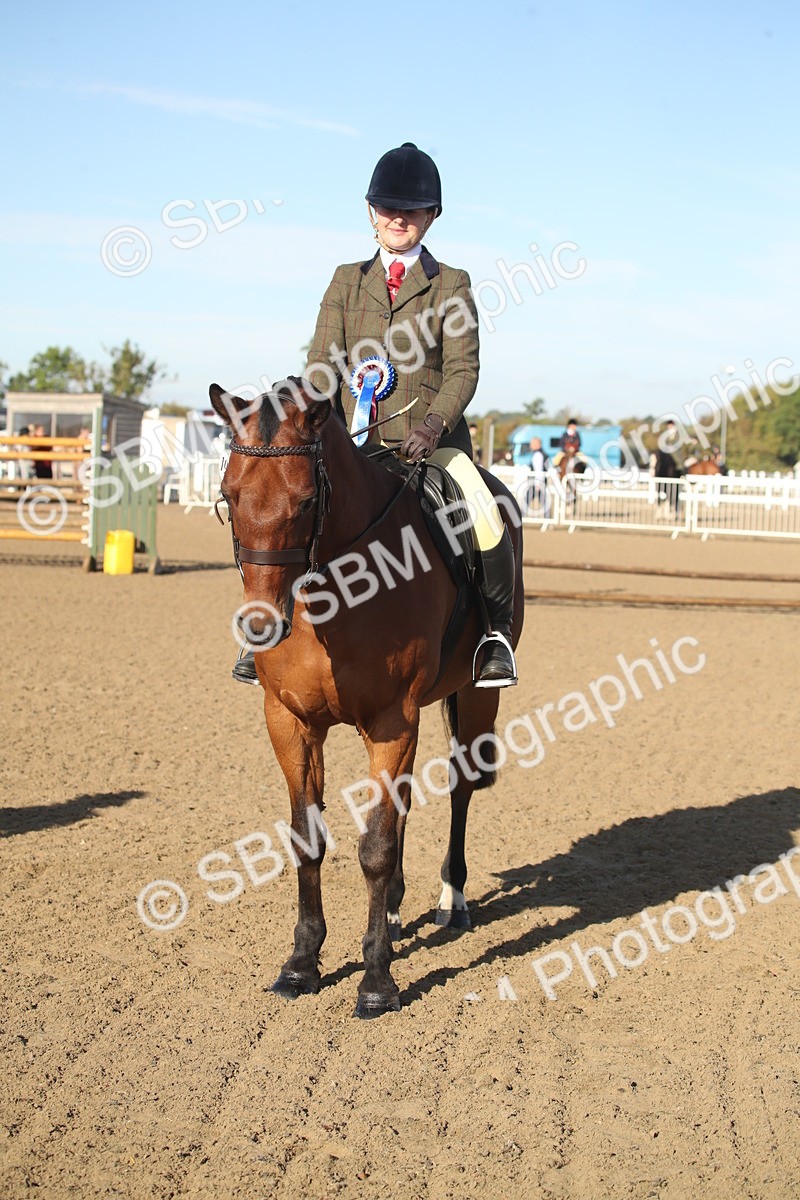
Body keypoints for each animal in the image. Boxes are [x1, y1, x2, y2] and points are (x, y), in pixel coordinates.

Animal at [209, 377, 524, 1018]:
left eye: (306, 500)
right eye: (229, 496)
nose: (260, 626)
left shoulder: (390, 721)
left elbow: (374, 847)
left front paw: (377, 980)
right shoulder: (290, 721)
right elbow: (308, 840)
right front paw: (302, 963)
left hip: (475, 699)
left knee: (459, 789)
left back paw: (452, 901)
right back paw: (399, 910)